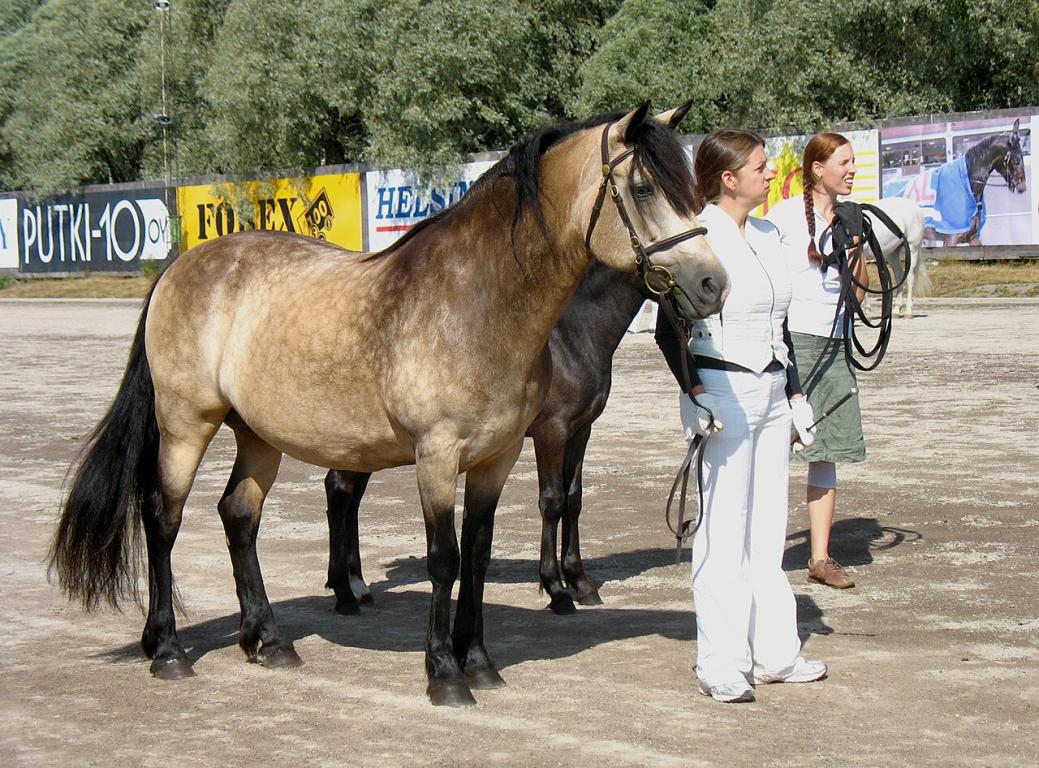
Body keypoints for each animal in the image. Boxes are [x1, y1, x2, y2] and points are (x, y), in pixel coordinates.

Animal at [324, 259, 650, 618]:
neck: (575, 338)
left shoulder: (581, 432)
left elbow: (574, 500)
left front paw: (580, 583)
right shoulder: (552, 433)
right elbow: (552, 502)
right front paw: (556, 589)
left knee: (349, 498)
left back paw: (357, 586)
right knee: (340, 492)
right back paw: (345, 592)